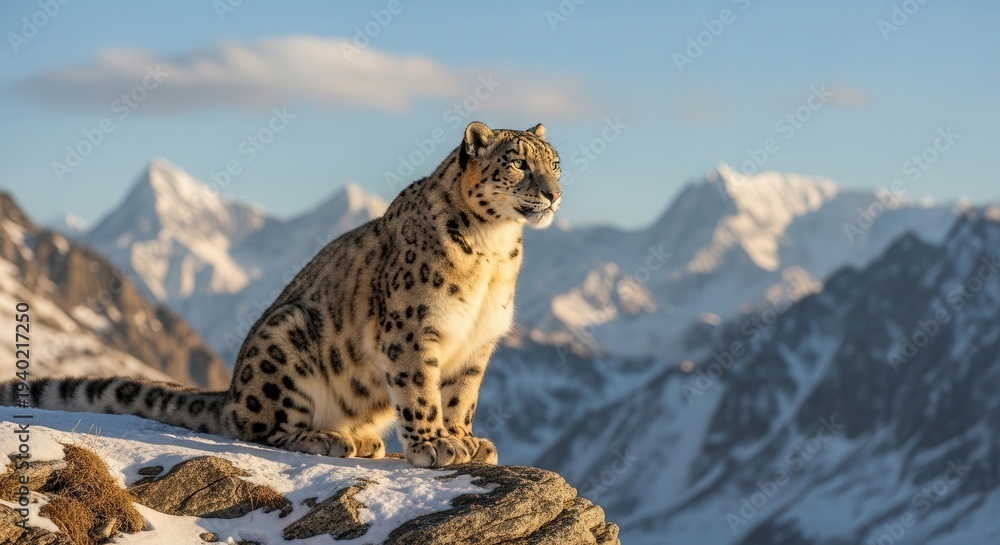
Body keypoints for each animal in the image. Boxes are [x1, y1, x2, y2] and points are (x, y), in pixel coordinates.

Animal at [1, 121, 562, 468]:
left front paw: (466, 441)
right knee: (261, 428)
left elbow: (460, 398)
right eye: (517, 163)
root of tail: (231, 392)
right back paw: (330, 438)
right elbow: (421, 393)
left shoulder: (477, 343)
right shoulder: (412, 331)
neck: (493, 252)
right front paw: (433, 446)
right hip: (286, 336)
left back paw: (363, 437)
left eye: (555, 163)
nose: (555, 193)